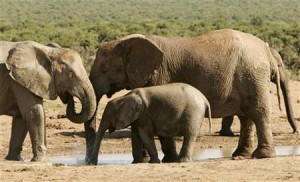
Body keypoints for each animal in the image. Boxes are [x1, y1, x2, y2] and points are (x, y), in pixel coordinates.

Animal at [86, 29, 286, 163]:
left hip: (252, 74)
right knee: (246, 116)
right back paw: (240, 155)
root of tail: (266, 50)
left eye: (105, 70)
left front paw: (166, 160)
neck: (129, 41)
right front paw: (143, 160)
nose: (90, 163)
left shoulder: (159, 74)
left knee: (258, 112)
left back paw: (261, 155)